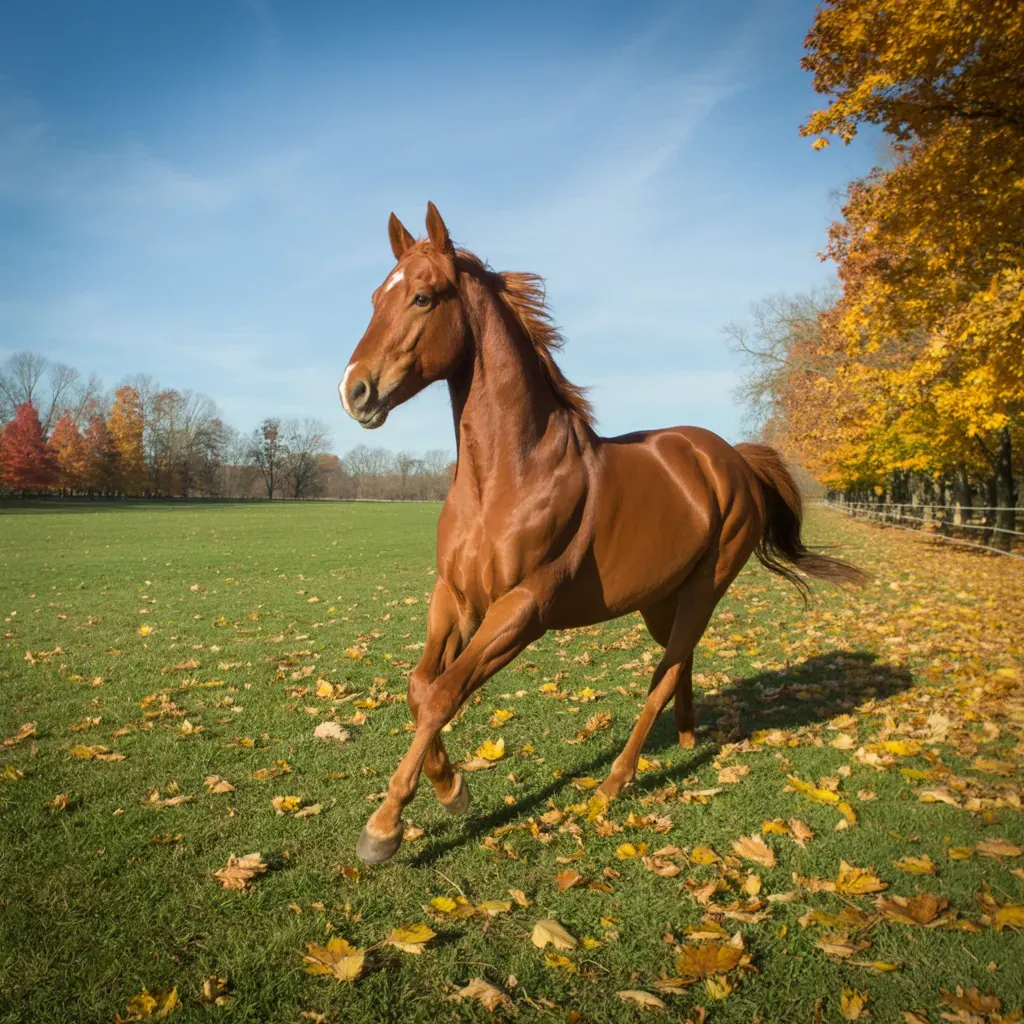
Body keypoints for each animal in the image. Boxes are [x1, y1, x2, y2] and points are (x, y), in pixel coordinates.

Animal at [339, 202, 866, 864]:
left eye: (423, 297)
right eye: (373, 298)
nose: (353, 390)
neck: (508, 479)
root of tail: (732, 459)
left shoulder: (522, 609)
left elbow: (442, 695)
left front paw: (384, 828)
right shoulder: (454, 597)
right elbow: (418, 688)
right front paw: (451, 789)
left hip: (706, 587)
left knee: (664, 674)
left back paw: (614, 783)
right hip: (659, 599)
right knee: (681, 663)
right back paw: (686, 739)